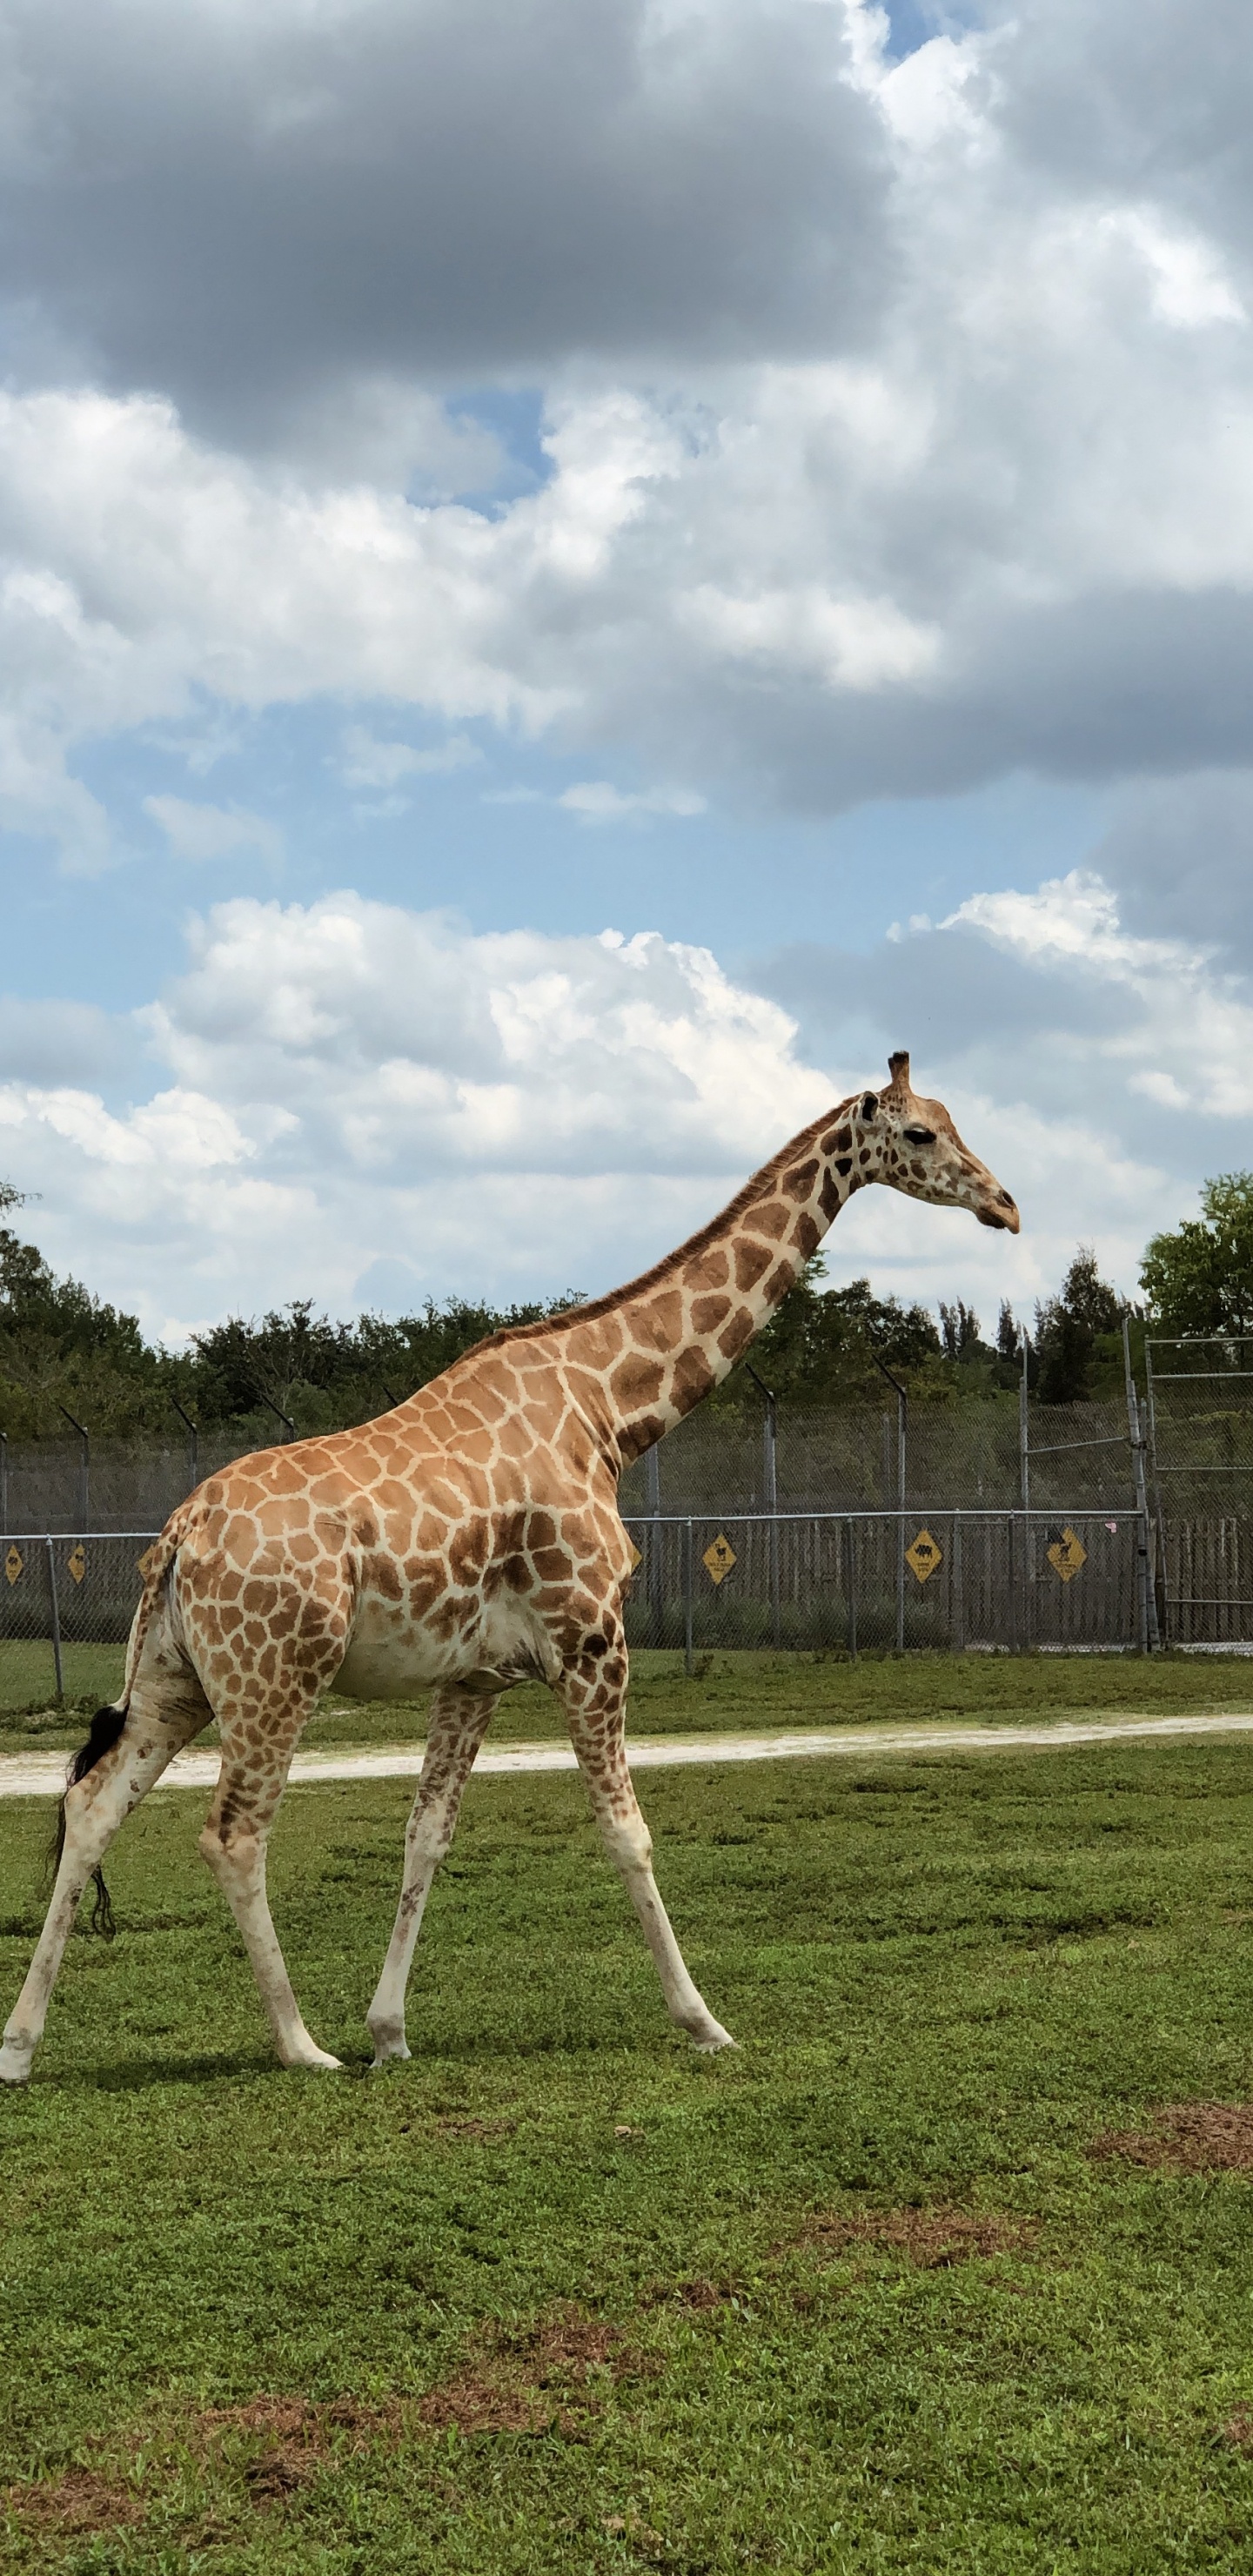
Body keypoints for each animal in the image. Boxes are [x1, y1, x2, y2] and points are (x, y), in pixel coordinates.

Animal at [0, 1052, 1018, 2085]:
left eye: (953, 1121)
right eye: (922, 1134)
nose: (1006, 1206)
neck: (609, 1410)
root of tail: (180, 1534)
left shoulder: (475, 1675)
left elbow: (426, 1834)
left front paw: (391, 2030)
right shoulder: (593, 1641)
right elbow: (627, 1831)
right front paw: (702, 2020)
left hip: (176, 1680)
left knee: (90, 1808)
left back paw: (20, 2047)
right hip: (273, 1680)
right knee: (233, 1834)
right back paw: (300, 2044)